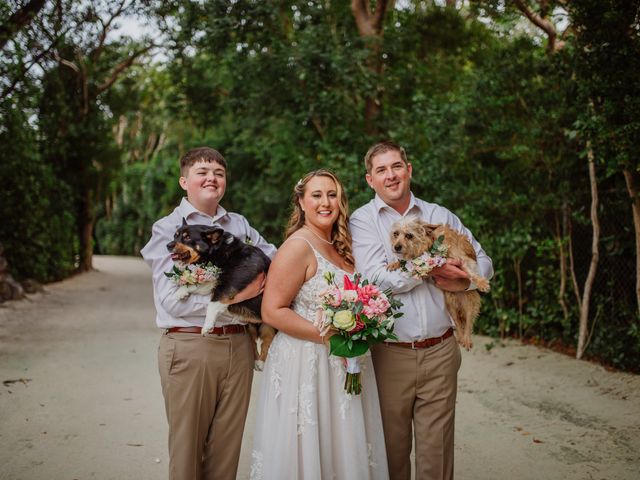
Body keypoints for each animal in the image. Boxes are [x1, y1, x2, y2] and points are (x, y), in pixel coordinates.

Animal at [166, 219, 276, 370]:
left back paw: (261, 363)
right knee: (254, 342)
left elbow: (213, 302)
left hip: (268, 325)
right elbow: (198, 284)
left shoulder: (233, 281)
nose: (168, 245)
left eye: (187, 237)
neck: (218, 252)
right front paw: (181, 292)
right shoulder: (213, 280)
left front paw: (207, 326)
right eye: (175, 235)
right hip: (250, 327)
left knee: (267, 341)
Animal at [390, 217, 490, 348]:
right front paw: (394, 264)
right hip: (451, 306)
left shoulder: (461, 258)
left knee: (468, 323)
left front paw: (481, 283)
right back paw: (460, 337)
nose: (396, 247)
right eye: (395, 234)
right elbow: (406, 261)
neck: (432, 242)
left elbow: (471, 272)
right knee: (458, 323)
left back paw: (467, 339)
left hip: (470, 304)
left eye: (409, 235)